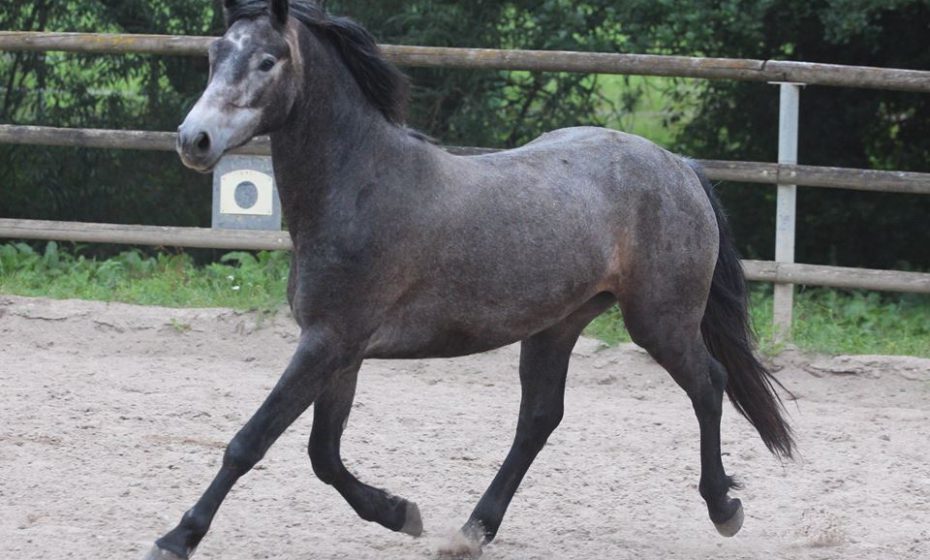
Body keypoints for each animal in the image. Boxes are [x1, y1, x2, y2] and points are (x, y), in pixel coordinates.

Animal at [146, 1, 793, 557]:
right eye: (214, 53)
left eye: (268, 60)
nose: (193, 140)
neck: (360, 187)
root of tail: (678, 165)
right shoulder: (340, 350)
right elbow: (322, 455)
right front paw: (401, 513)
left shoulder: (327, 342)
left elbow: (250, 442)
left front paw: (176, 538)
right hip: (557, 325)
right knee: (539, 418)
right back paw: (473, 529)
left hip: (659, 320)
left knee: (708, 384)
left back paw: (724, 509)